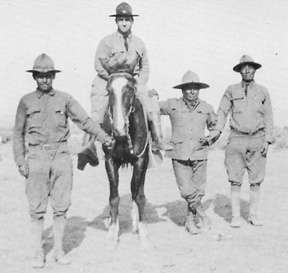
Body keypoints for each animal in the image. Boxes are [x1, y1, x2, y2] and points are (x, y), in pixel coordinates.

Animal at [101, 71, 150, 248]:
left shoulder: (140, 160)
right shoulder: (109, 161)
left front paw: (143, 232)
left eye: (130, 89)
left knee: (136, 190)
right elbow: (114, 197)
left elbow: (138, 195)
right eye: (108, 91)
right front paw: (112, 233)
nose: (118, 130)